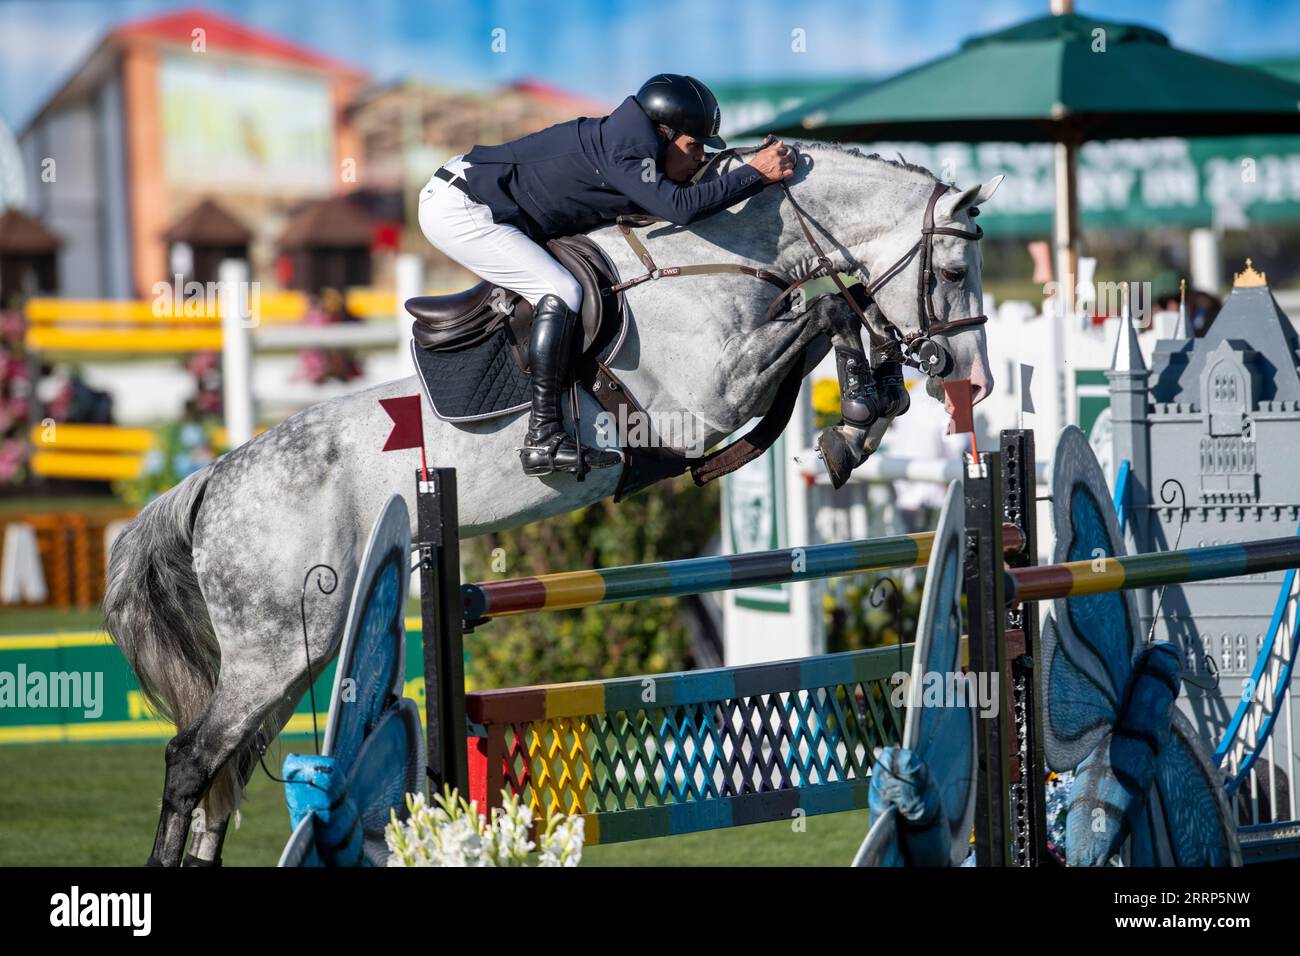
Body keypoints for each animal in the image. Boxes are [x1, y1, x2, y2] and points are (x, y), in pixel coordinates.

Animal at [106, 143, 998, 868]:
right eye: (954, 273)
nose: (971, 381)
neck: (715, 262)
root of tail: (215, 480)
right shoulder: (707, 400)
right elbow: (831, 309)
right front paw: (858, 408)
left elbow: (830, 319)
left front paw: (862, 416)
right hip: (277, 647)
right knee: (192, 760)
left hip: (291, 652)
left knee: (225, 766)